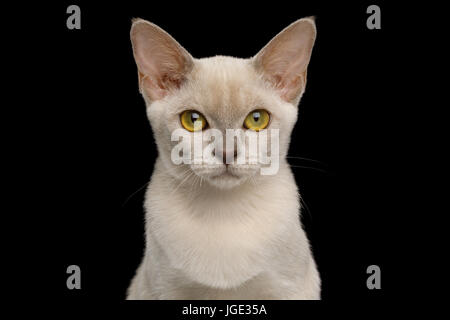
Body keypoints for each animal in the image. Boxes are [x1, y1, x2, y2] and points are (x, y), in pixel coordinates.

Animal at [126, 16, 320, 298]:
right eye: (192, 120)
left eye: (257, 119)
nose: (227, 152)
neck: (224, 212)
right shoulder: (164, 289)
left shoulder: (289, 288)